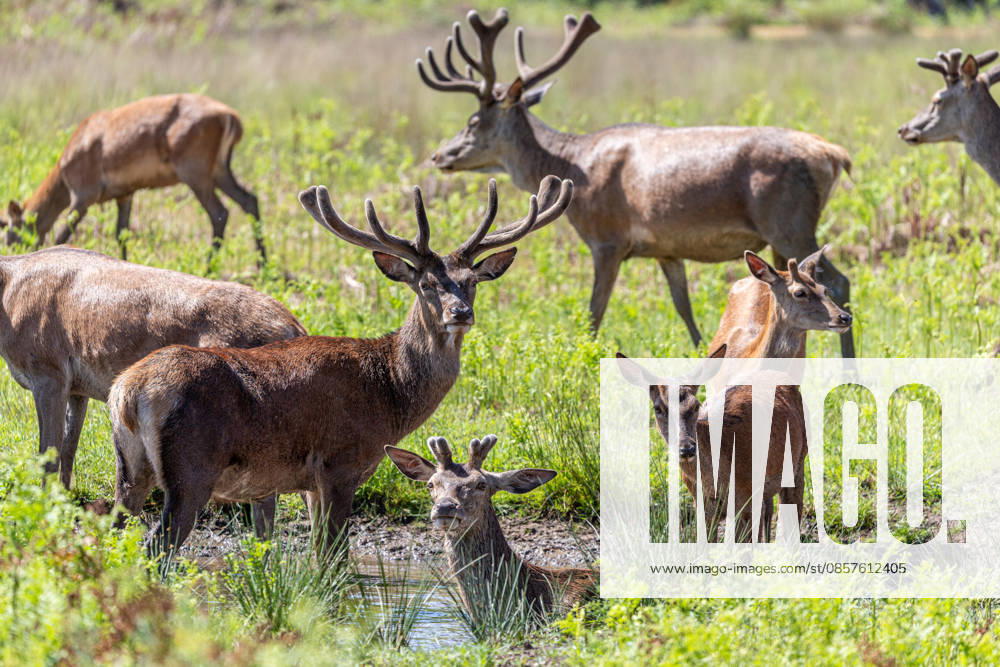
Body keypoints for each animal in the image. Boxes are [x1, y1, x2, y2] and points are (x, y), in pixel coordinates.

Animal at [0, 93, 265, 265]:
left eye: (9, 234)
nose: (13, 250)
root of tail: (231, 117)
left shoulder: (83, 196)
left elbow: (62, 234)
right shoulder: (125, 194)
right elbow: (122, 233)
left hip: (196, 174)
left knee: (219, 213)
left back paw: (208, 267)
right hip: (219, 171)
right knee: (249, 200)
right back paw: (262, 265)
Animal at [0, 246, 305, 534]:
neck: (8, 290)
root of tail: (294, 326)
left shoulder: (48, 375)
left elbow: (47, 454)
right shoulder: (76, 389)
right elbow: (68, 449)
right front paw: (63, 500)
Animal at [106, 176, 573, 559]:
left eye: (471, 282)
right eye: (426, 283)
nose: (460, 313)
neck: (389, 394)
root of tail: (128, 392)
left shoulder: (309, 482)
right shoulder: (339, 463)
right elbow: (333, 559)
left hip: (130, 468)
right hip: (191, 468)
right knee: (156, 548)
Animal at [616, 347, 808, 542]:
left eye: (695, 405)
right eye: (658, 408)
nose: (687, 448)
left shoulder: (747, 497)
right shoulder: (701, 504)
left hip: (799, 461)